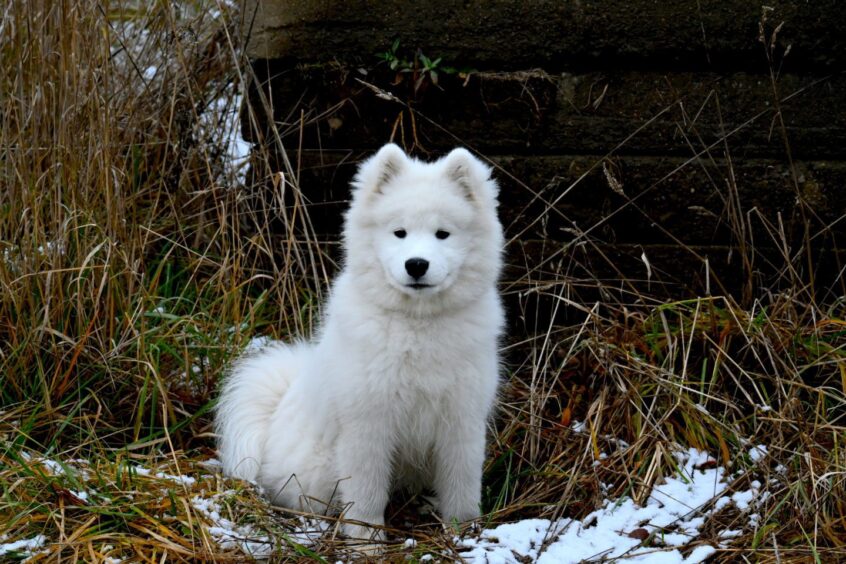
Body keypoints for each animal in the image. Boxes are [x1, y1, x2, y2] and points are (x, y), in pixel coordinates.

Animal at [215, 143, 504, 540]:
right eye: (399, 233)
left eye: (442, 234)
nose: (417, 264)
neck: (417, 326)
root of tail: (272, 418)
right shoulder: (367, 425)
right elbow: (367, 493)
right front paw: (367, 541)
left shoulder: (462, 419)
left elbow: (462, 485)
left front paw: (464, 532)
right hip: (319, 473)